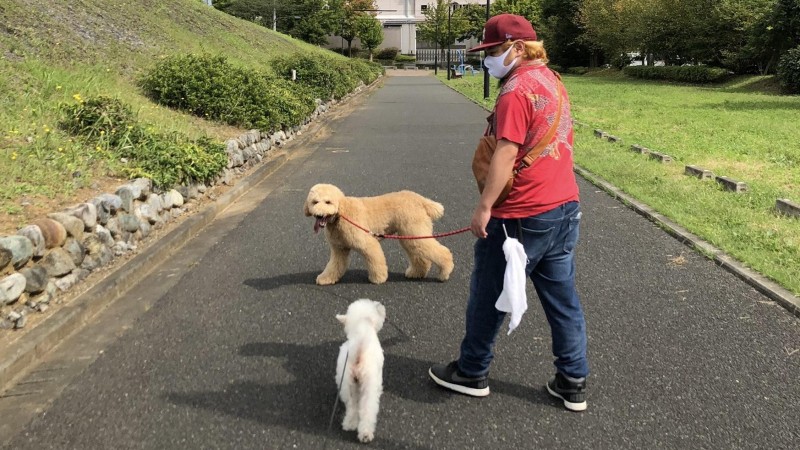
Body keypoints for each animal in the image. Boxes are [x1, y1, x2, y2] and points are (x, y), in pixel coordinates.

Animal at [304, 183, 454, 285]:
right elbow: (334, 266)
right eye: (314, 202)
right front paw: (326, 278)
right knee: (421, 257)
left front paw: (378, 278)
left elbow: (375, 260)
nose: (319, 214)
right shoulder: (339, 249)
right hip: (411, 235)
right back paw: (416, 273)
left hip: (414, 231)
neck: (341, 213)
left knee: (442, 252)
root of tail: (421, 200)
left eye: (328, 202)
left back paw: (444, 272)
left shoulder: (367, 243)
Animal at [335, 299, 386, 443]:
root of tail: (358, 353)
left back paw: (349, 424)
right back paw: (365, 433)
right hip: (369, 384)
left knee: (351, 406)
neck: (362, 327)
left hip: (347, 383)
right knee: (367, 409)